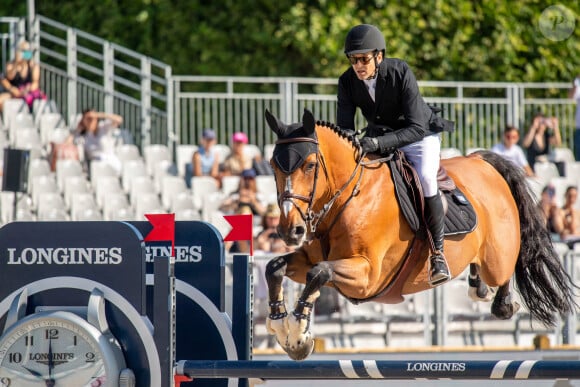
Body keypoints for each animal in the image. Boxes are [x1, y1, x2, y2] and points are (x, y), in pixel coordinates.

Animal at [262, 108, 576, 360]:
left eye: (310, 165)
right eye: (273, 165)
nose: (290, 230)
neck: (348, 196)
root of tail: (483, 162)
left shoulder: (367, 276)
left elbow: (319, 272)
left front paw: (298, 334)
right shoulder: (313, 258)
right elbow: (275, 267)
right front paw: (281, 325)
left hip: (497, 257)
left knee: (503, 274)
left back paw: (501, 301)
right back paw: (477, 286)